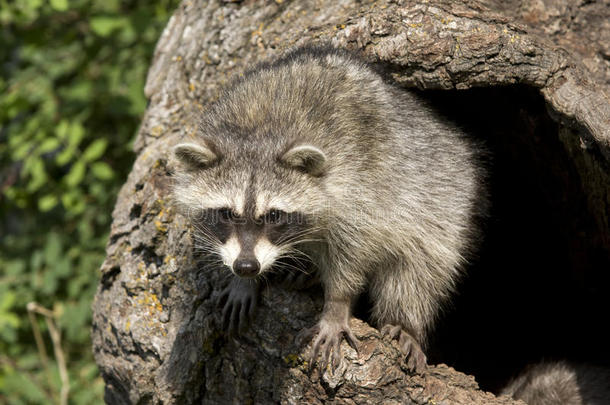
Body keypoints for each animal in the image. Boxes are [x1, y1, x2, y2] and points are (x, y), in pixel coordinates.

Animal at [170, 46, 484, 372]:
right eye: (227, 214)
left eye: (274, 215)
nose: (246, 266)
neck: (260, 133)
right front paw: (243, 281)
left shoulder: (361, 186)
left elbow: (354, 253)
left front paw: (336, 305)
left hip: (443, 199)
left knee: (419, 270)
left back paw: (405, 323)